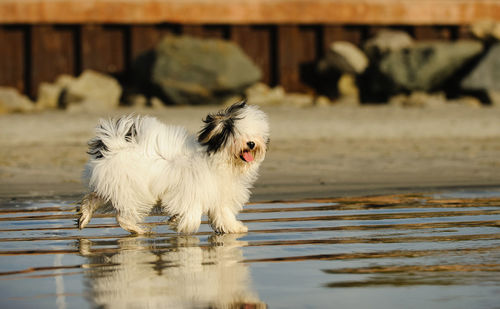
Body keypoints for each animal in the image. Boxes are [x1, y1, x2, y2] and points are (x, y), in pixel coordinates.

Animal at [77, 101, 270, 233]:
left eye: (256, 135)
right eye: (238, 135)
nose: (251, 143)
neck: (218, 159)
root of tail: (114, 146)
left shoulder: (218, 195)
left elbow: (223, 214)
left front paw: (235, 228)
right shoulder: (191, 191)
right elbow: (191, 212)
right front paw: (179, 223)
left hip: (115, 185)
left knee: (95, 197)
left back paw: (84, 216)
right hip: (131, 189)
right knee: (123, 217)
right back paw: (139, 230)